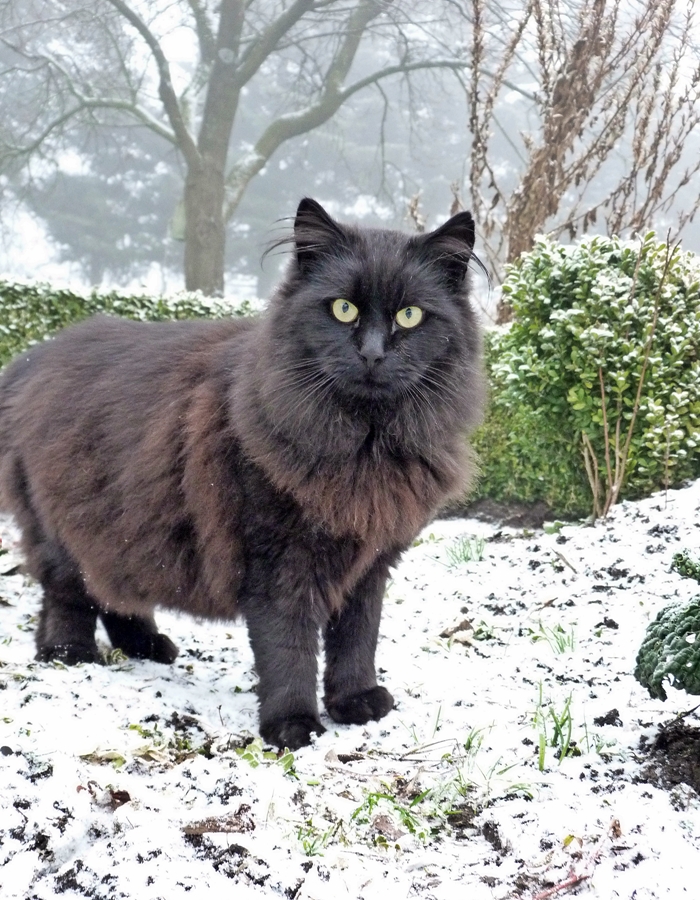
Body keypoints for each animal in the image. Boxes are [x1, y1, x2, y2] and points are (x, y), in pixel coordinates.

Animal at [0, 200, 484, 748]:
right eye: (343, 309)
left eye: (410, 316)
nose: (373, 353)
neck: (363, 442)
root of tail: (33, 357)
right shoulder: (278, 563)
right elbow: (290, 648)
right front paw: (293, 726)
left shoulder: (370, 563)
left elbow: (358, 638)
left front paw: (356, 702)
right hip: (62, 527)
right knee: (67, 595)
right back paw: (68, 655)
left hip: (123, 528)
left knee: (113, 594)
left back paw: (147, 646)